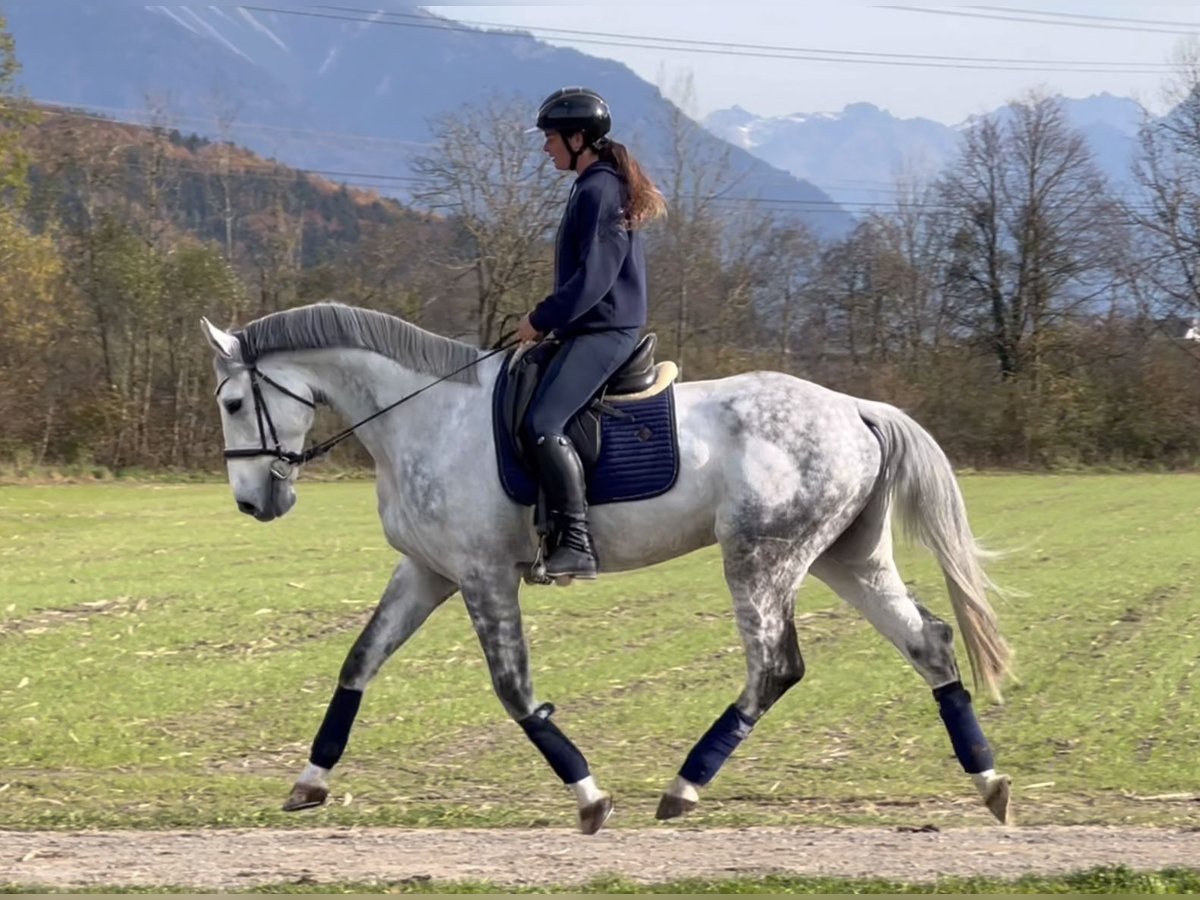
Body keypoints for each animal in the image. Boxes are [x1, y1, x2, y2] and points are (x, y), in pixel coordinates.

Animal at [201, 300, 1017, 835]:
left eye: (235, 402)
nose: (251, 502)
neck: (424, 416)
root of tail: (853, 408)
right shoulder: (429, 572)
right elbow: (359, 661)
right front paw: (309, 780)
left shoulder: (483, 574)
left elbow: (514, 689)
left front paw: (590, 798)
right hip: (847, 560)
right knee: (929, 644)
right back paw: (990, 782)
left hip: (762, 559)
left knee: (774, 668)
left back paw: (683, 789)